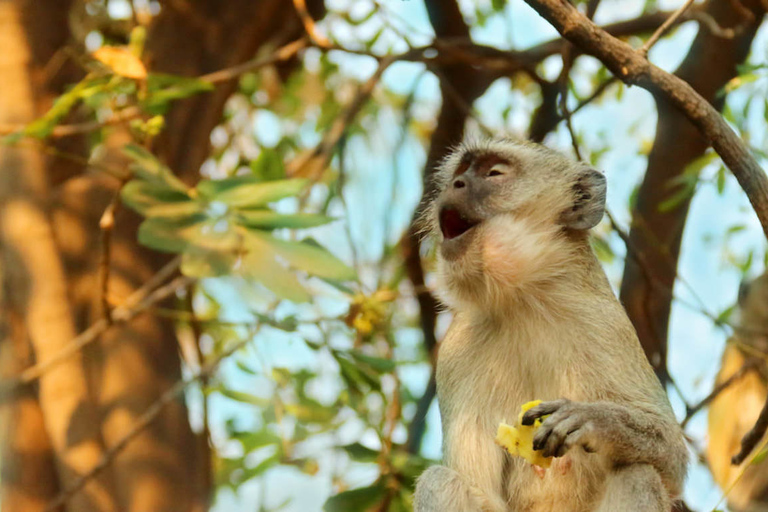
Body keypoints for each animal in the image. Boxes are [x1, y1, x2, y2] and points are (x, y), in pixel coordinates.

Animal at [414, 138, 688, 510]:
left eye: (494, 173)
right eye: (460, 172)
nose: (455, 185)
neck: (522, 299)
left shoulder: (603, 322)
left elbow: (672, 457)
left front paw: (596, 421)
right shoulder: (457, 348)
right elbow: (478, 490)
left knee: (637, 472)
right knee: (439, 480)